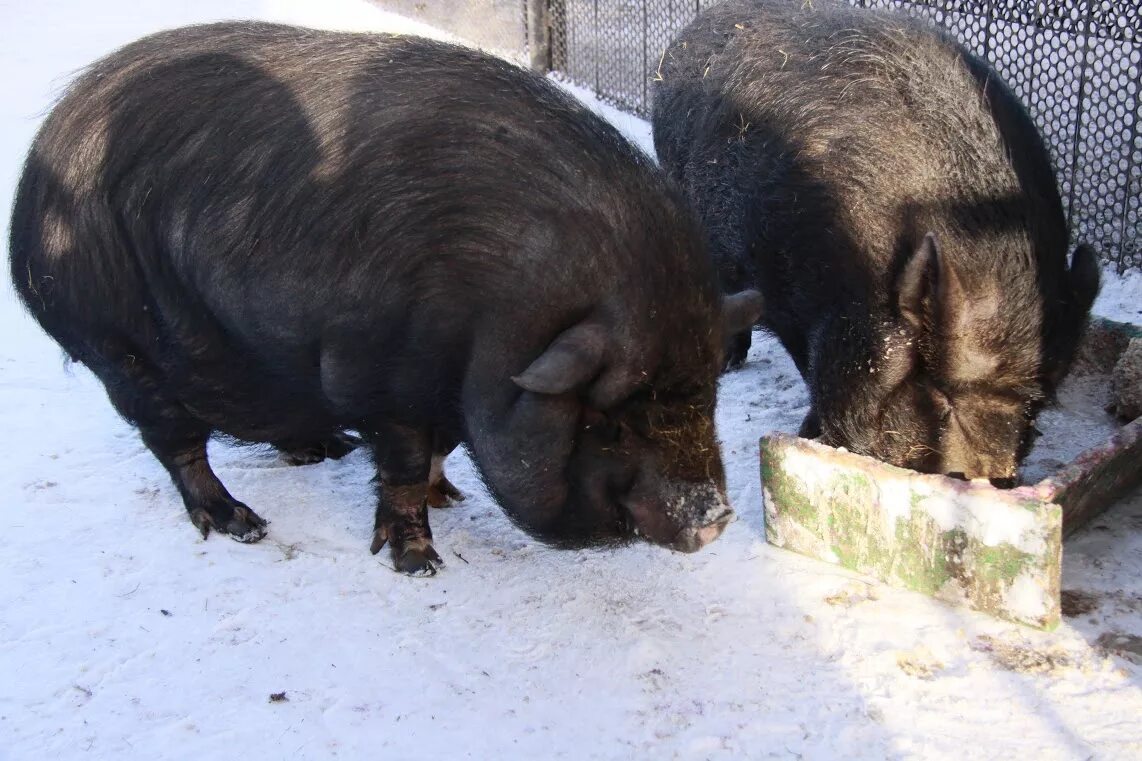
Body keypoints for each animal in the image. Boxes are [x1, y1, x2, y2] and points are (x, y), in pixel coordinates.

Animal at [11, 20, 758, 571]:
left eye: (706, 395)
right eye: (611, 422)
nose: (716, 518)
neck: (494, 319)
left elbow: (438, 451)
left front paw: (451, 496)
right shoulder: (377, 372)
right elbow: (401, 463)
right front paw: (420, 562)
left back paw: (326, 449)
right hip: (119, 348)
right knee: (176, 443)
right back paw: (243, 524)